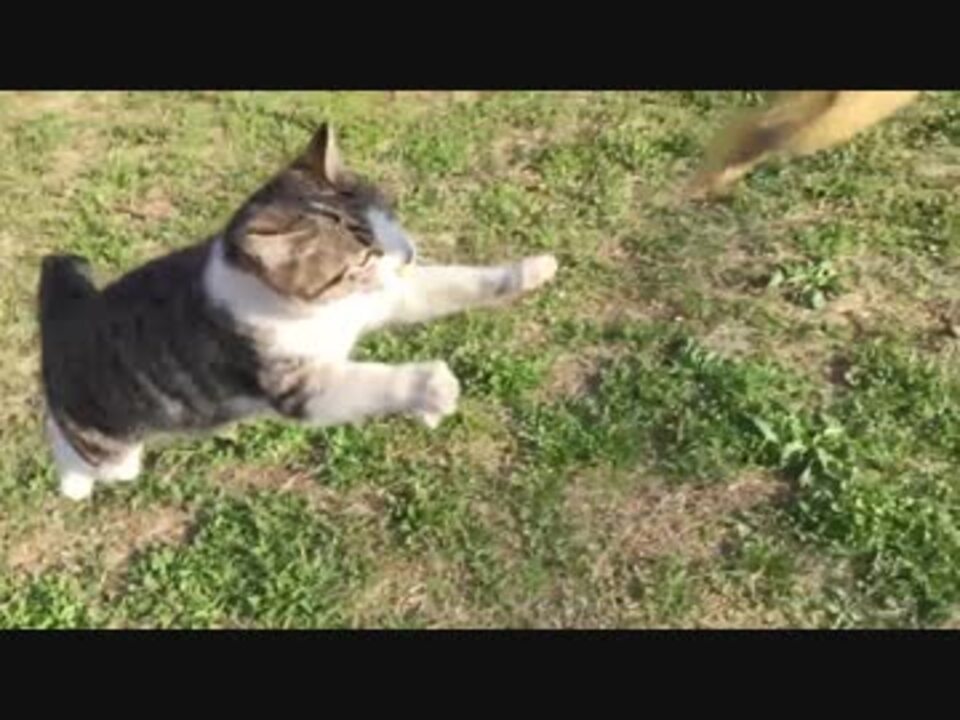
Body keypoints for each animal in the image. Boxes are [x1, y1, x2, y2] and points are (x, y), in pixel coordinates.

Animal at [39, 122, 558, 501]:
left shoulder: (381, 298)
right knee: (75, 447)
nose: (408, 253)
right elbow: (371, 381)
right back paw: (73, 484)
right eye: (360, 258)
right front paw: (432, 387)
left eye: (389, 217)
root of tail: (64, 322)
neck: (317, 309)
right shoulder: (298, 387)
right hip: (104, 442)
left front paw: (531, 270)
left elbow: (457, 283)